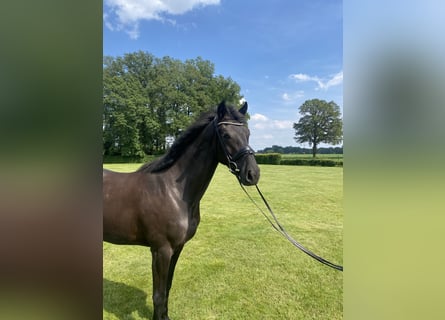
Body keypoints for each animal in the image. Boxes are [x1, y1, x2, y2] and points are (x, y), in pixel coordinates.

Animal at [102, 100, 258, 320]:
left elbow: (166, 289)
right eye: (226, 134)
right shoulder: (161, 250)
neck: (172, 191)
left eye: (248, 133)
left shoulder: (177, 248)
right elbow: (158, 295)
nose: (253, 174)